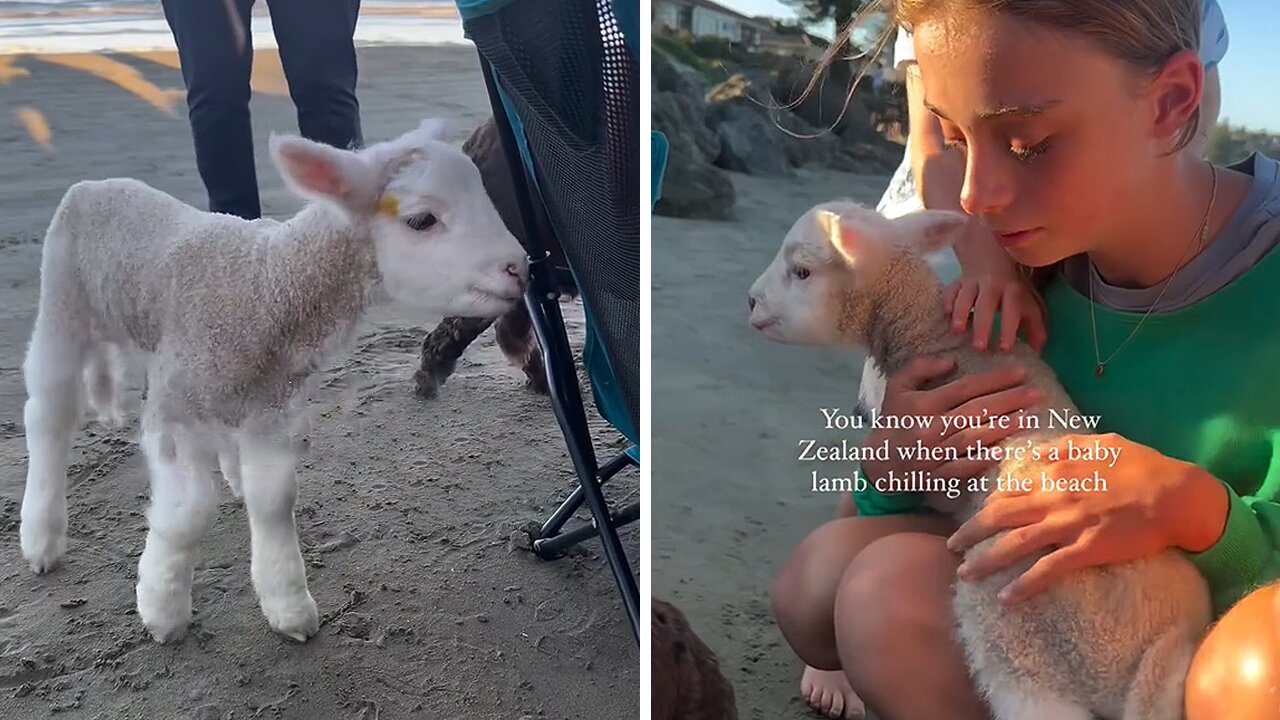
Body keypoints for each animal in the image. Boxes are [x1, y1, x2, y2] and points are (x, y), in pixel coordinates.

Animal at [20, 119, 529, 645]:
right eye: (422, 220)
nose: (521, 268)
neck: (268, 285)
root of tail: (95, 184)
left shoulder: (270, 407)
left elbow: (274, 499)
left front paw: (288, 605)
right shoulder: (177, 404)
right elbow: (186, 515)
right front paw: (163, 610)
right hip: (62, 303)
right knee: (49, 414)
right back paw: (42, 537)